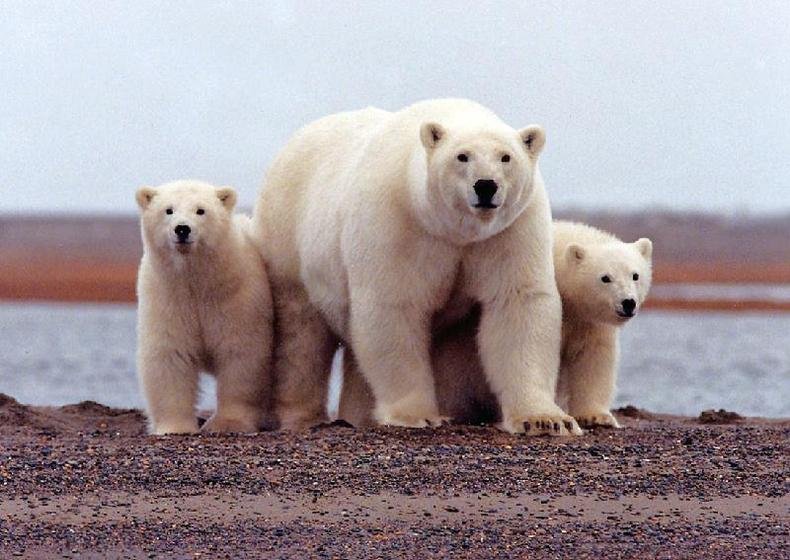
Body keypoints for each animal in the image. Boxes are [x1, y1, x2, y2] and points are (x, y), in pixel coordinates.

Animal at [135, 179, 274, 435]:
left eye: (201, 210)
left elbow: (240, 354)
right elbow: (170, 355)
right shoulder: (168, 298)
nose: (182, 229)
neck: (197, 281)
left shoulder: (236, 298)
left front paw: (228, 423)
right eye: (168, 210)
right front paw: (175, 427)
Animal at [253, 98, 581, 436]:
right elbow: (394, 307)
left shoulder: (509, 230)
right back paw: (303, 416)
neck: (454, 231)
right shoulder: (398, 222)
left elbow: (517, 303)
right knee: (301, 334)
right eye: (462, 156)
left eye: (506, 157)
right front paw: (417, 415)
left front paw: (545, 420)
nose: (486, 186)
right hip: (288, 238)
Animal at [339, 220, 653, 430]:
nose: (627, 303)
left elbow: (593, 358)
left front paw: (597, 416)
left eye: (635, 275)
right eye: (605, 278)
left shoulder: (587, 321)